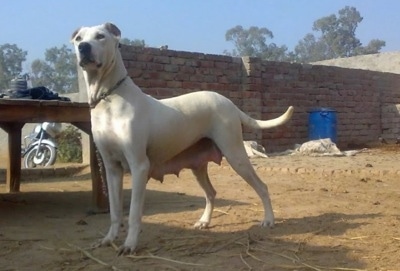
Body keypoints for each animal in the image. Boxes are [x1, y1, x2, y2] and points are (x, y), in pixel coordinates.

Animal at [70, 22, 292, 255]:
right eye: (78, 38)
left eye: (100, 36)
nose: (83, 47)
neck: (109, 99)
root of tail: (228, 102)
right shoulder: (112, 169)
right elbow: (114, 211)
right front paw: (108, 239)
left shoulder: (139, 166)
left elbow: (133, 213)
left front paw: (130, 244)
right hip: (198, 166)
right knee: (211, 193)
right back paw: (204, 221)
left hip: (236, 155)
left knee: (262, 187)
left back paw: (269, 220)